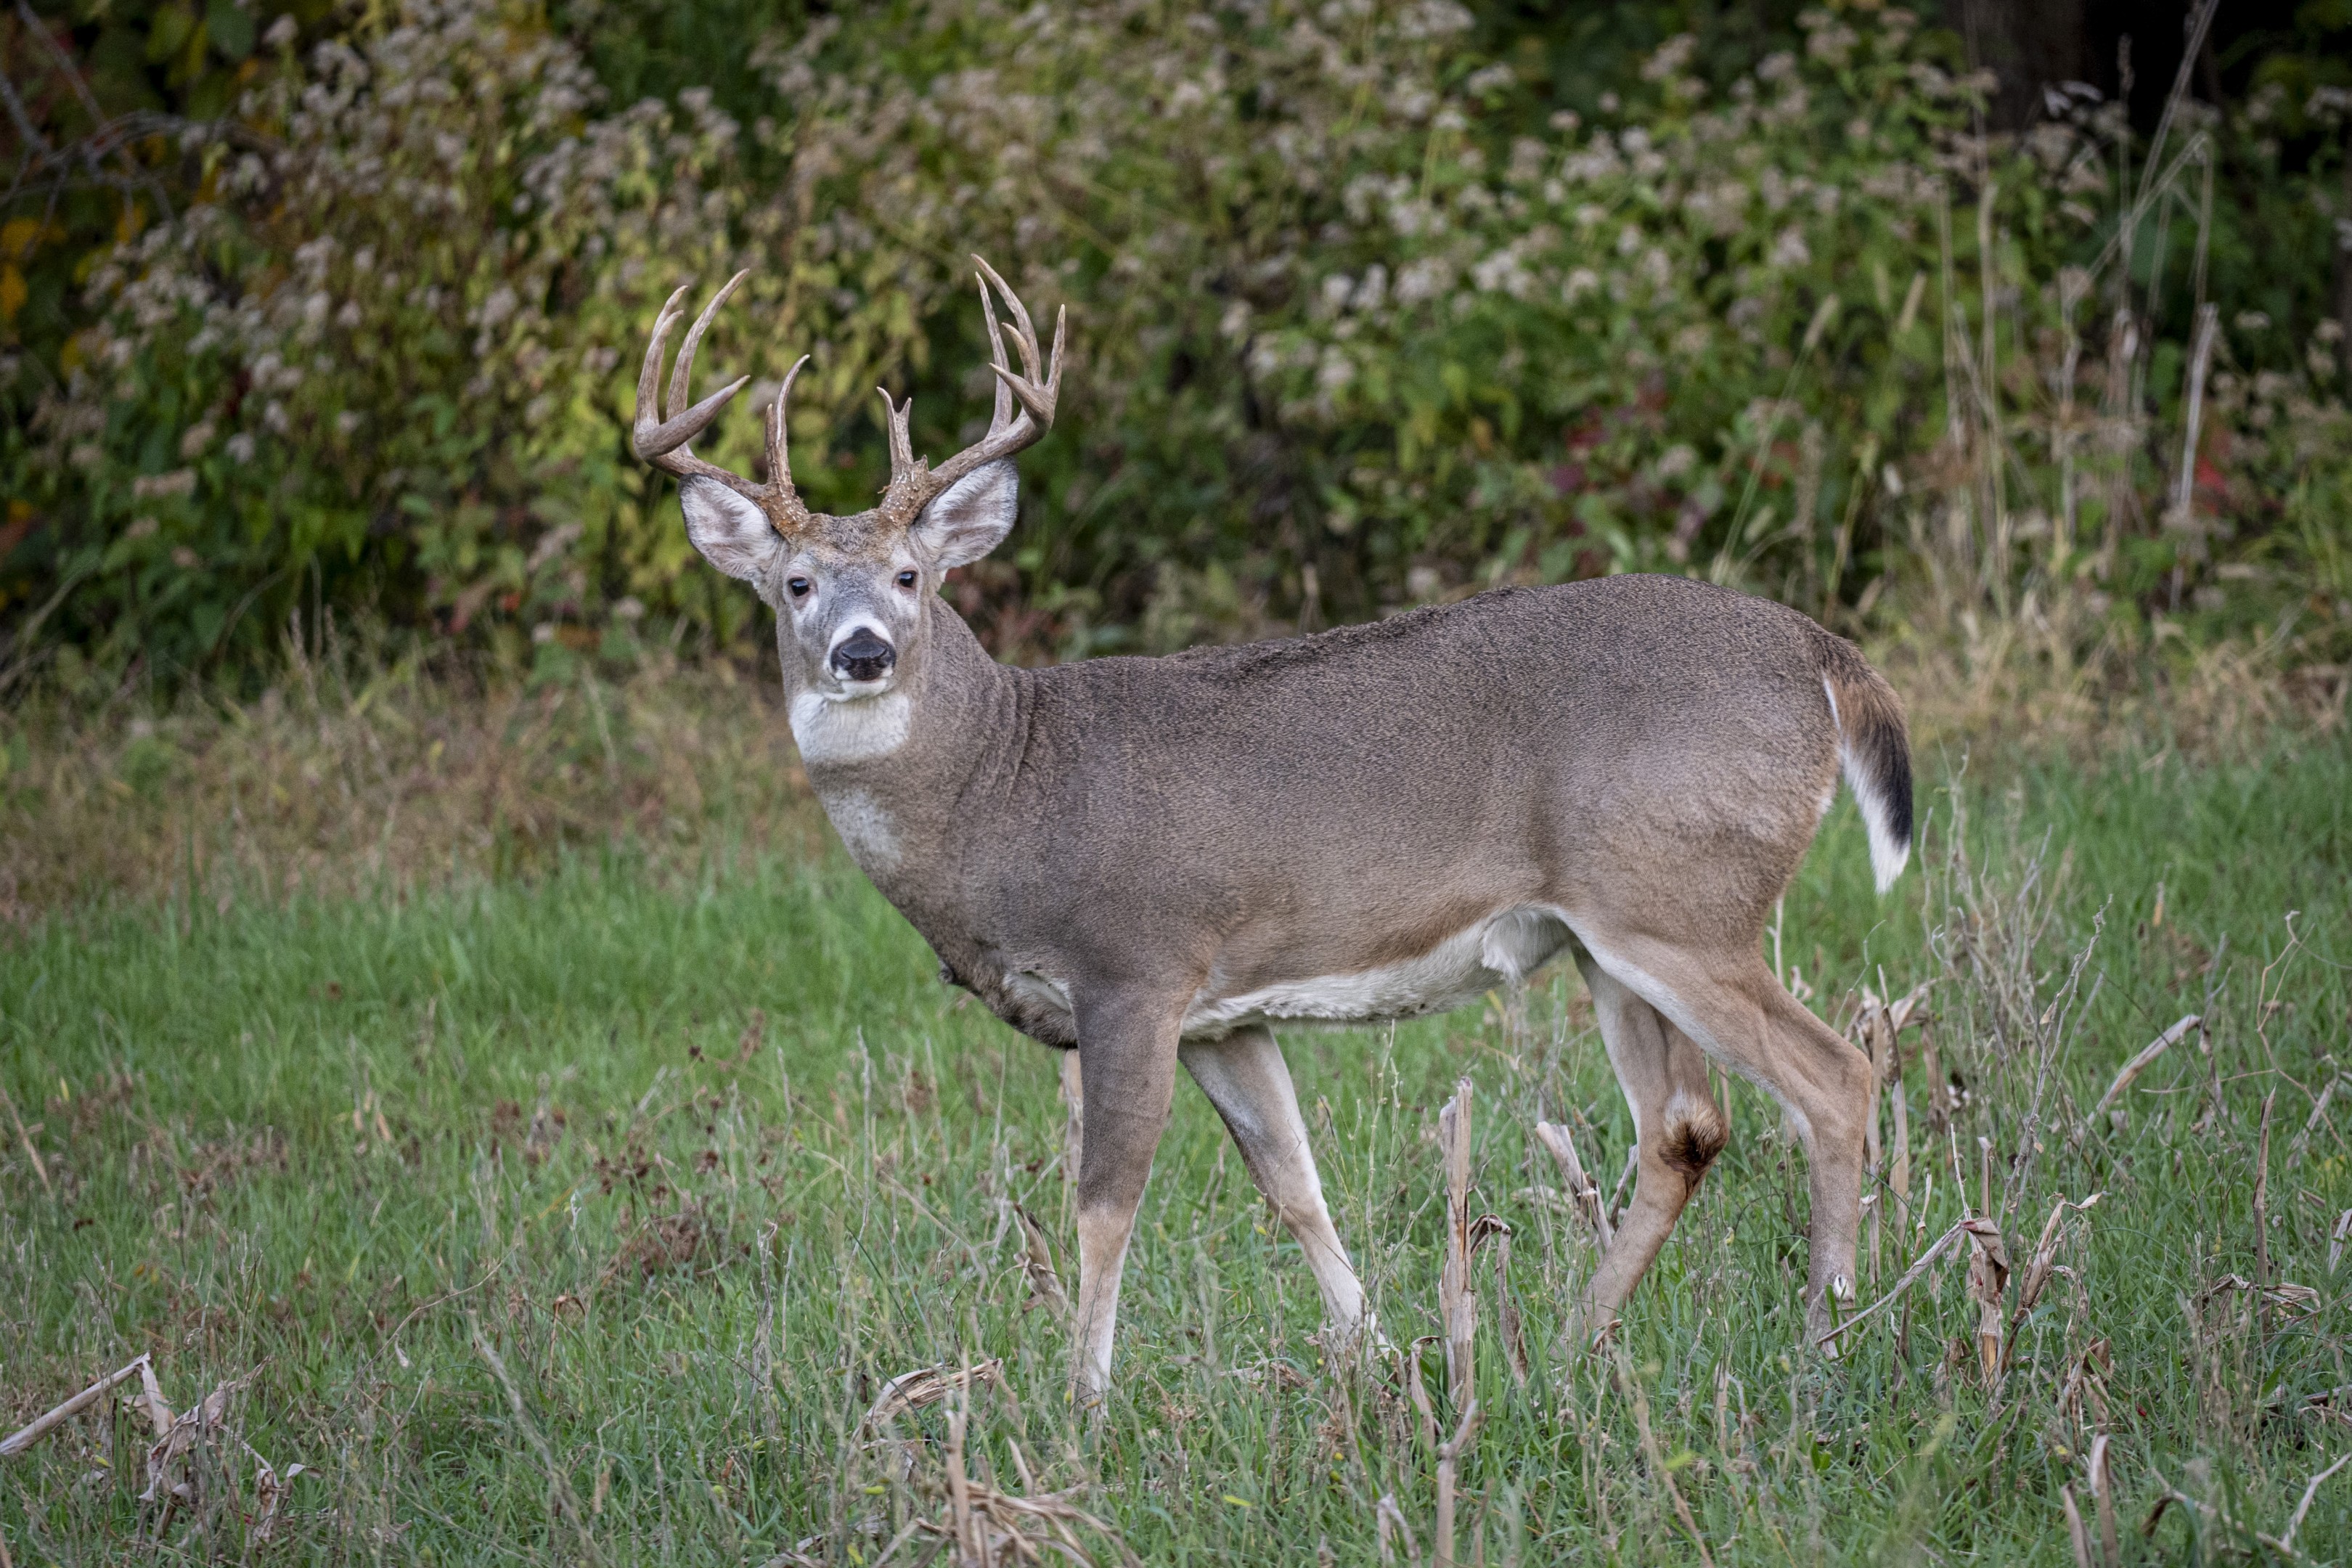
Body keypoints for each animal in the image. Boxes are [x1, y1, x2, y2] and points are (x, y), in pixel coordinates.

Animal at [631, 260, 1913, 1402]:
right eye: (796, 585)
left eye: (910, 576)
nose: (863, 652)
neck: (1007, 787)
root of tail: (1817, 654)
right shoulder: (1223, 1011)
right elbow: (1294, 1180)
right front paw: (1383, 1358)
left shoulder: (1135, 967)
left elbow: (1107, 1200)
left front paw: (1080, 1402)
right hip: (1609, 935)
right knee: (1685, 1127)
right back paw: (1566, 1351)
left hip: (1682, 905)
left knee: (1836, 1076)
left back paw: (1826, 1339)